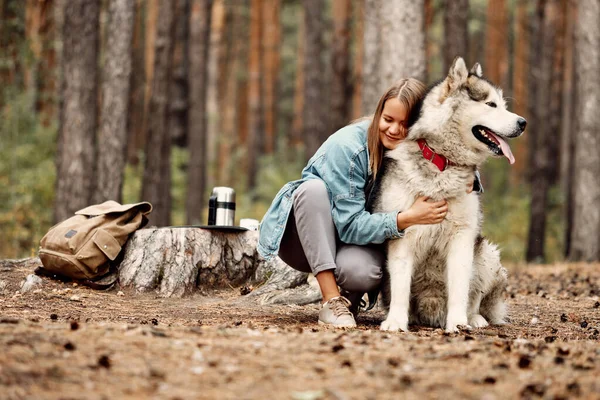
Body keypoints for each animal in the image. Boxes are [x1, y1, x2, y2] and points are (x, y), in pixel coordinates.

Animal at [368, 56, 528, 332]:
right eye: (491, 104)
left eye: (503, 105)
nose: (523, 123)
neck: (442, 161)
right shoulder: (403, 235)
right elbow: (400, 287)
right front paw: (396, 321)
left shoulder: (462, 237)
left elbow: (461, 289)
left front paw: (458, 323)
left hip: (486, 254)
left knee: (475, 298)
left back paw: (474, 318)